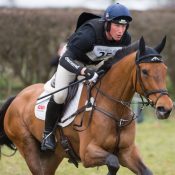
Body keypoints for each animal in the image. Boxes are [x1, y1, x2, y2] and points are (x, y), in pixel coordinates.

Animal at [0, 36, 174, 174]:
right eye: (144, 71)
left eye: (165, 69)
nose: (165, 108)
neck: (114, 111)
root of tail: (17, 97)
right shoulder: (88, 153)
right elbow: (113, 162)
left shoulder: (127, 152)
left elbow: (143, 170)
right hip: (29, 148)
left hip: (53, 156)